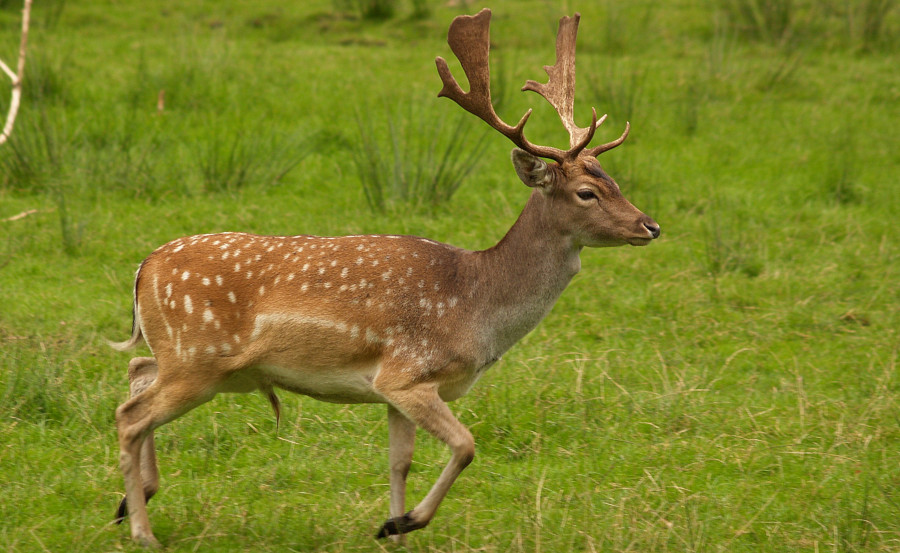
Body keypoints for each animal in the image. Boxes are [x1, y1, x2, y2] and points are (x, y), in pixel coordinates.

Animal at [110, 8, 660, 548]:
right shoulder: (408, 373)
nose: (650, 226)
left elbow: (400, 462)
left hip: (194, 360)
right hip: (197, 359)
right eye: (587, 192)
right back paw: (142, 530)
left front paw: (391, 527)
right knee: (130, 415)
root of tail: (143, 267)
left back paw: (130, 501)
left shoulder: (394, 390)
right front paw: (405, 521)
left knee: (137, 371)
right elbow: (465, 445)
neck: (476, 306)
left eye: (616, 181)